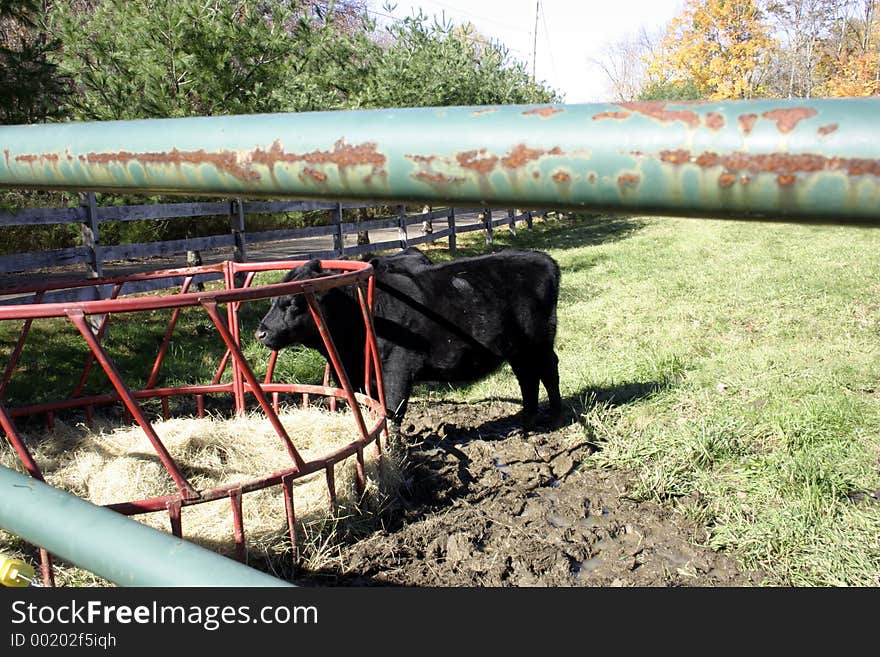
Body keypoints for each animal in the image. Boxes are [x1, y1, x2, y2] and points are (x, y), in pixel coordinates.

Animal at [258, 247, 564, 426]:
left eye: (292, 303)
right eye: (272, 300)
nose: (261, 332)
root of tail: (543, 258)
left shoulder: (397, 368)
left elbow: (392, 412)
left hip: (539, 342)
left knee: (547, 370)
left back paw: (554, 415)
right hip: (517, 348)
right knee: (527, 375)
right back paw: (526, 415)